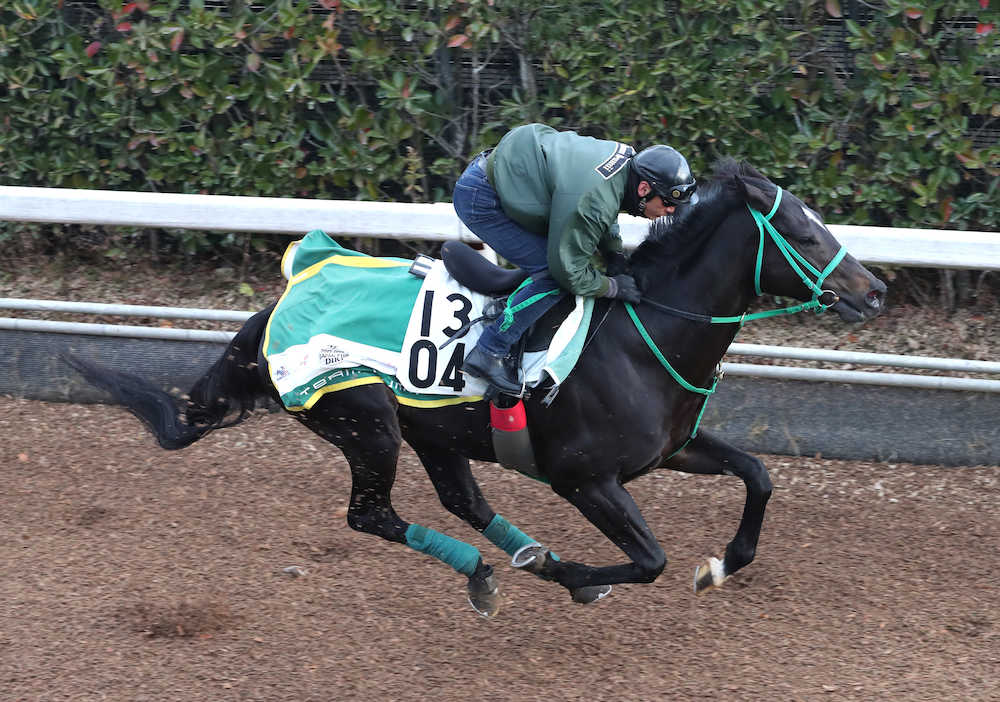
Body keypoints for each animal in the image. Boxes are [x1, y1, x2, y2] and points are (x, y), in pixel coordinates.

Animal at [68, 160, 884, 616]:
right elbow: (649, 559)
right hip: (366, 423)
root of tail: (289, 293)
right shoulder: (584, 479)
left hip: (434, 429)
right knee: (372, 515)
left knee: (465, 501)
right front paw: (579, 573)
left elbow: (759, 474)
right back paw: (499, 570)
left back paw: (519, 558)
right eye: (804, 233)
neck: (641, 334)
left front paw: (722, 564)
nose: (873, 289)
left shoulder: (671, 448)